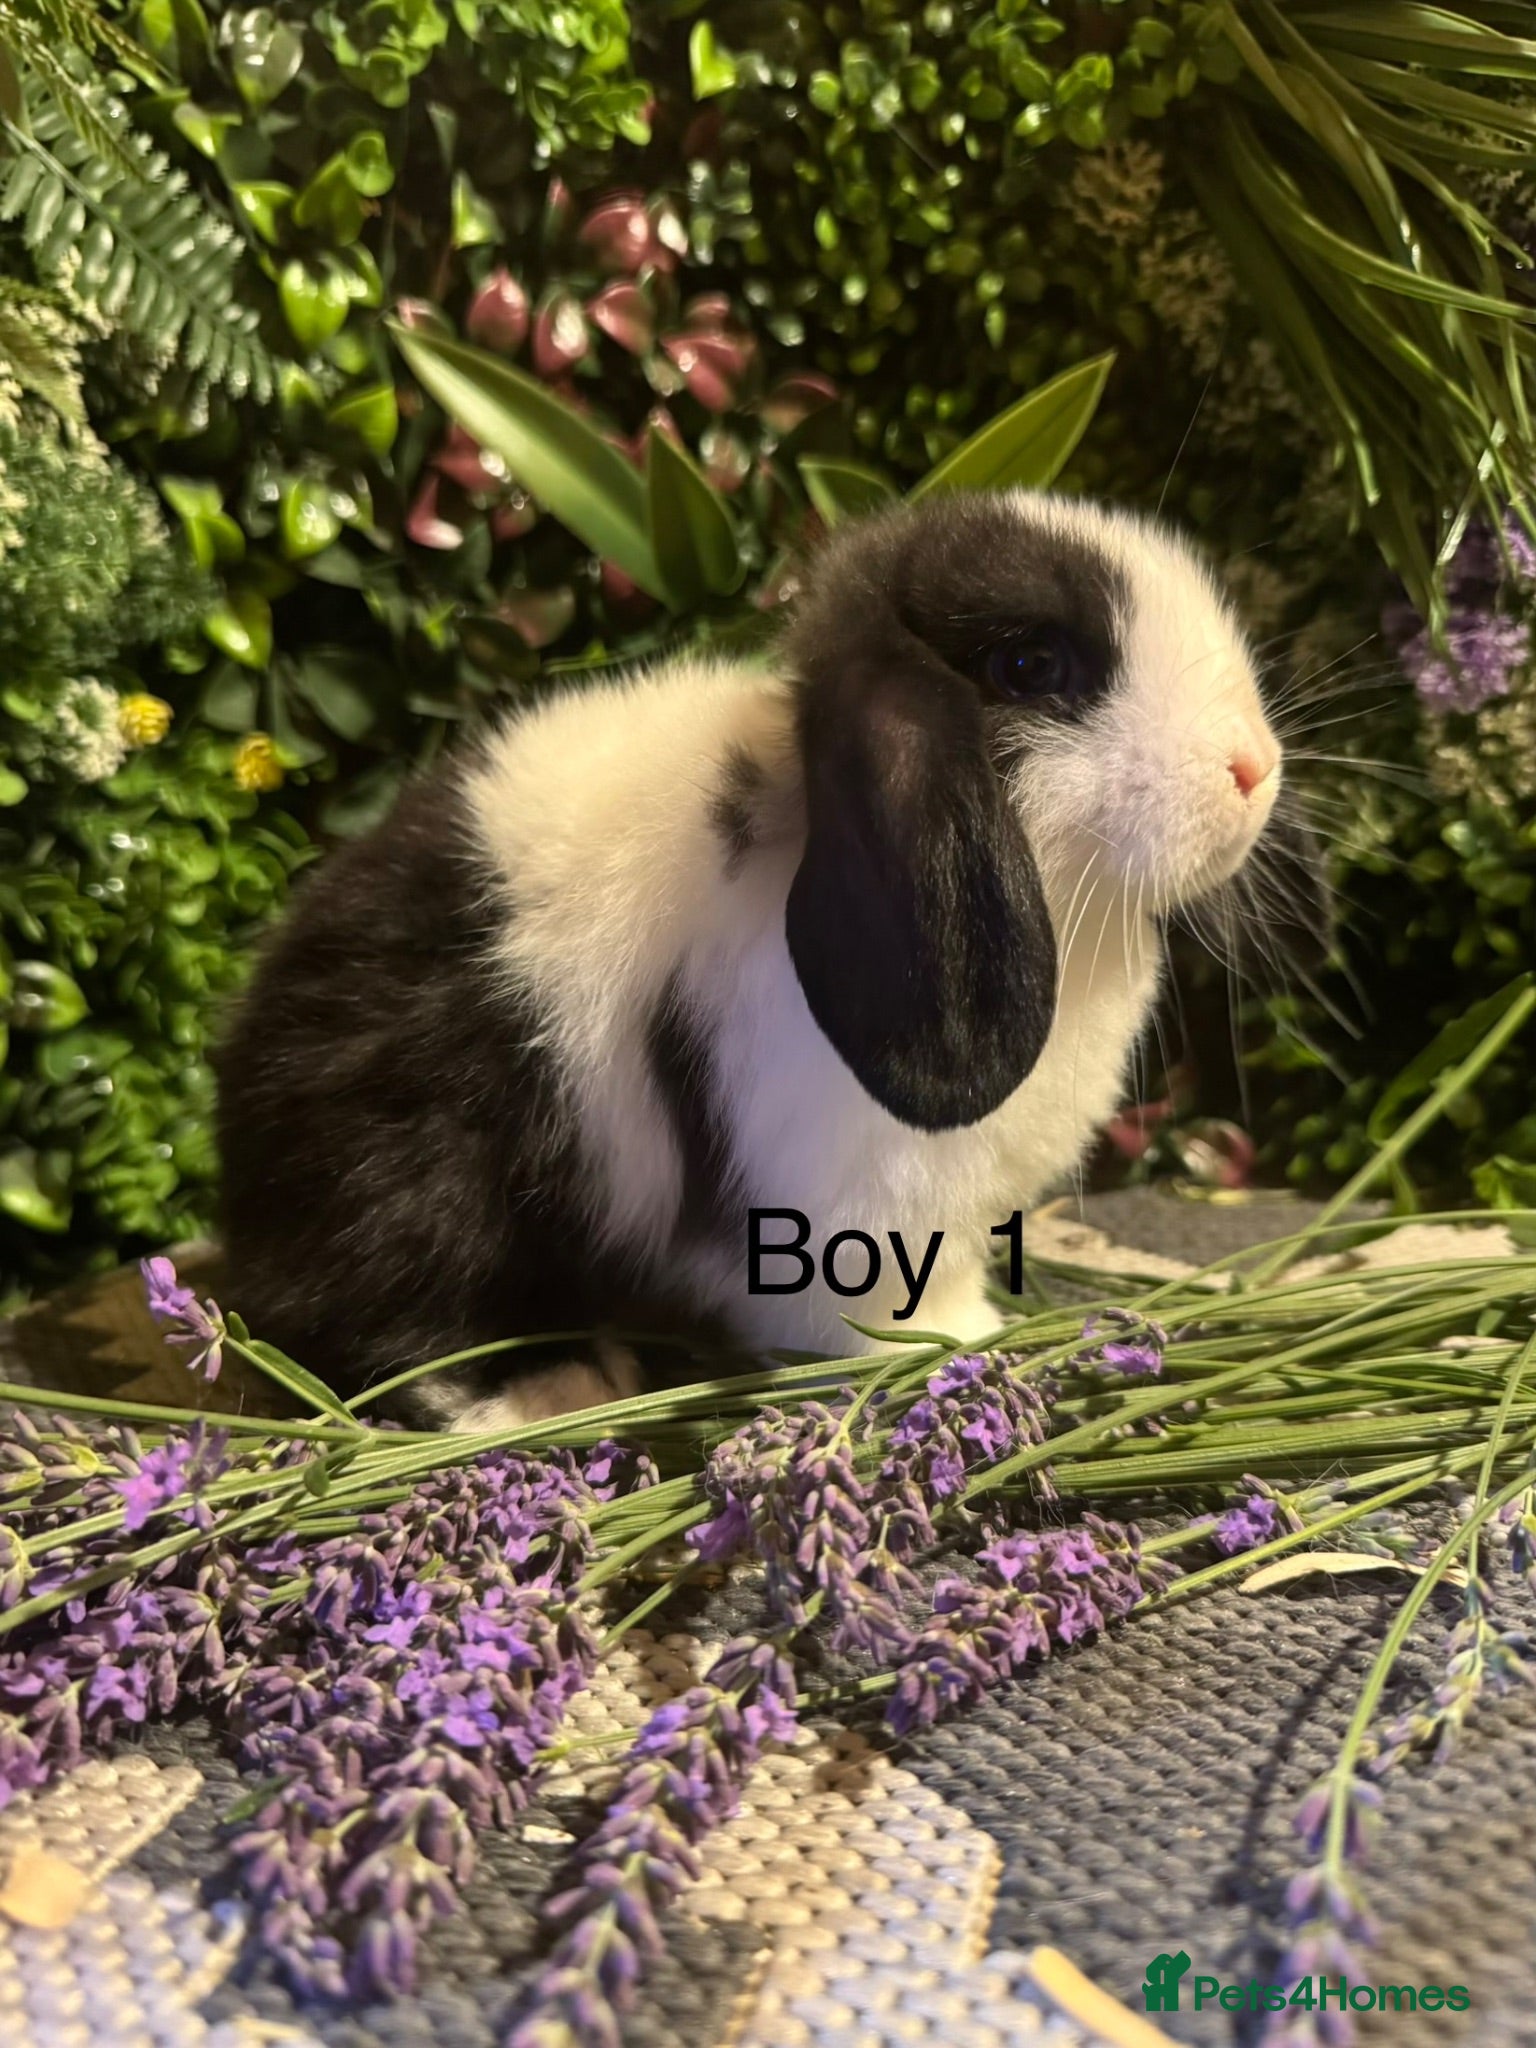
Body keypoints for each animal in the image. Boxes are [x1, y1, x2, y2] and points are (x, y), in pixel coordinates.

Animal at [214, 488, 1320, 1428]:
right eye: (1031, 668)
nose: (1253, 768)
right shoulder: (848, 1203)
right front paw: (965, 1351)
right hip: (413, 1173)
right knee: (386, 1317)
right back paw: (548, 1386)